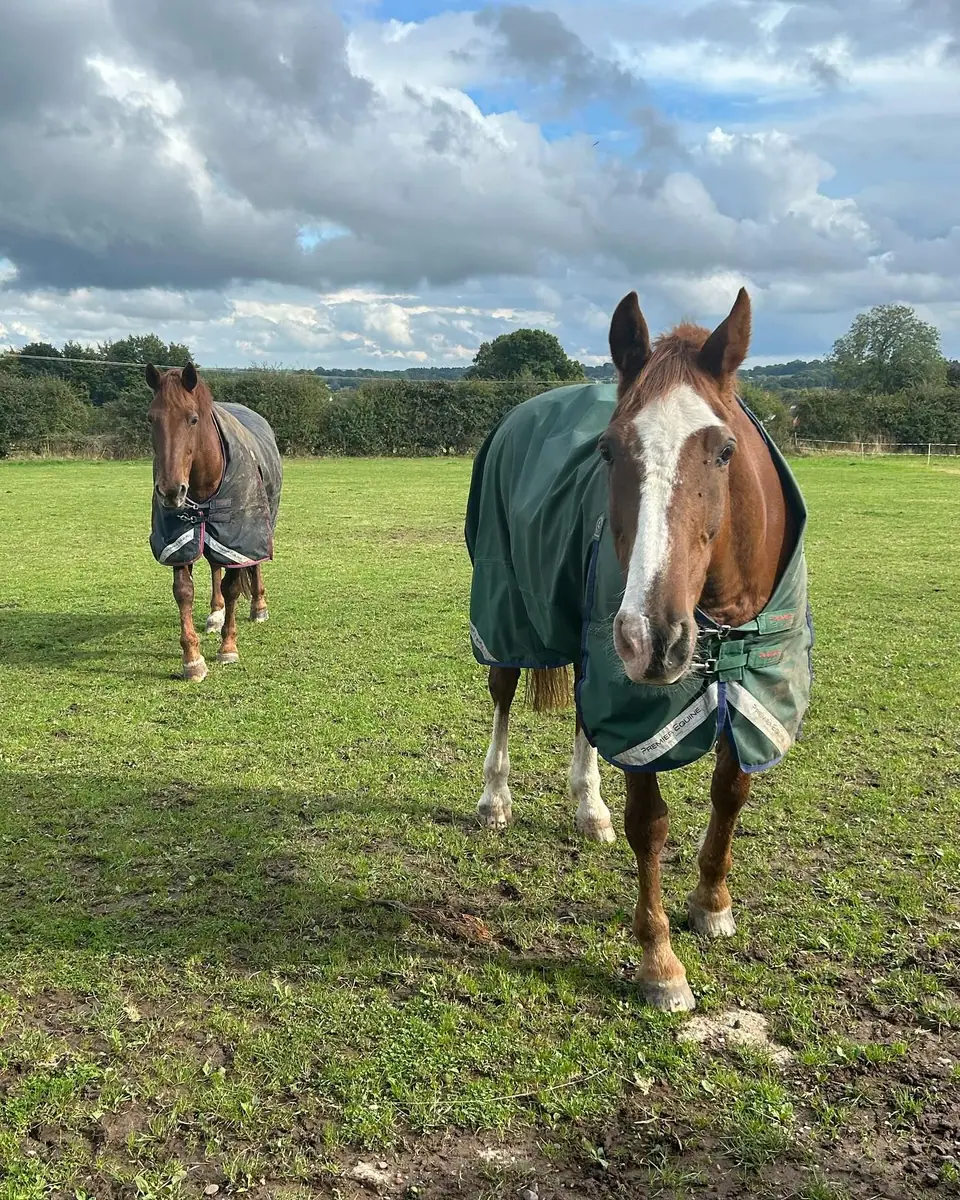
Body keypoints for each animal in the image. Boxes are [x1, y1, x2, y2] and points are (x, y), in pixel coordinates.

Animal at [145, 363, 282, 682]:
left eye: (193, 419)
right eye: (151, 418)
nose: (171, 491)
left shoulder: (239, 537)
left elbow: (233, 586)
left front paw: (228, 647)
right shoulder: (179, 541)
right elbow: (184, 592)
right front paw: (192, 660)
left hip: (260, 525)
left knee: (253, 566)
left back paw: (258, 607)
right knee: (214, 566)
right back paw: (215, 614)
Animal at [464, 289, 813, 1012]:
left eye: (724, 449)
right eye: (607, 450)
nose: (651, 635)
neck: (723, 624)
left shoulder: (754, 691)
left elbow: (731, 791)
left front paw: (712, 903)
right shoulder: (642, 711)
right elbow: (649, 824)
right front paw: (660, 961)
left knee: (580, 713)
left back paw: (587, 808)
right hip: (511, 617)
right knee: (503, 695)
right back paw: (495, 800)